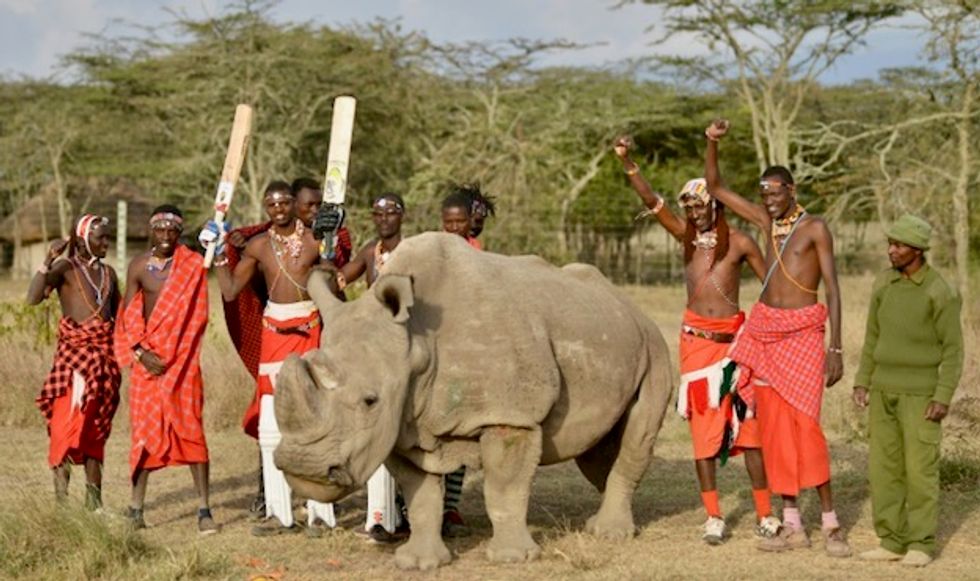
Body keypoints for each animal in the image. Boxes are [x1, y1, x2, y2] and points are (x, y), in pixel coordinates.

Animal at [274, 232, 672, 569]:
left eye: (370, 401)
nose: (302, 468)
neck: (417, 342)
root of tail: (628, 303)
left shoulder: (509, 414)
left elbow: (503, 488)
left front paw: (512, 558)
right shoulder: (402, 425)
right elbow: (421, 496)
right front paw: (419, 562)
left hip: (654, 344)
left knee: (638, 432)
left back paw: (610, 533)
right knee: (596, 450)